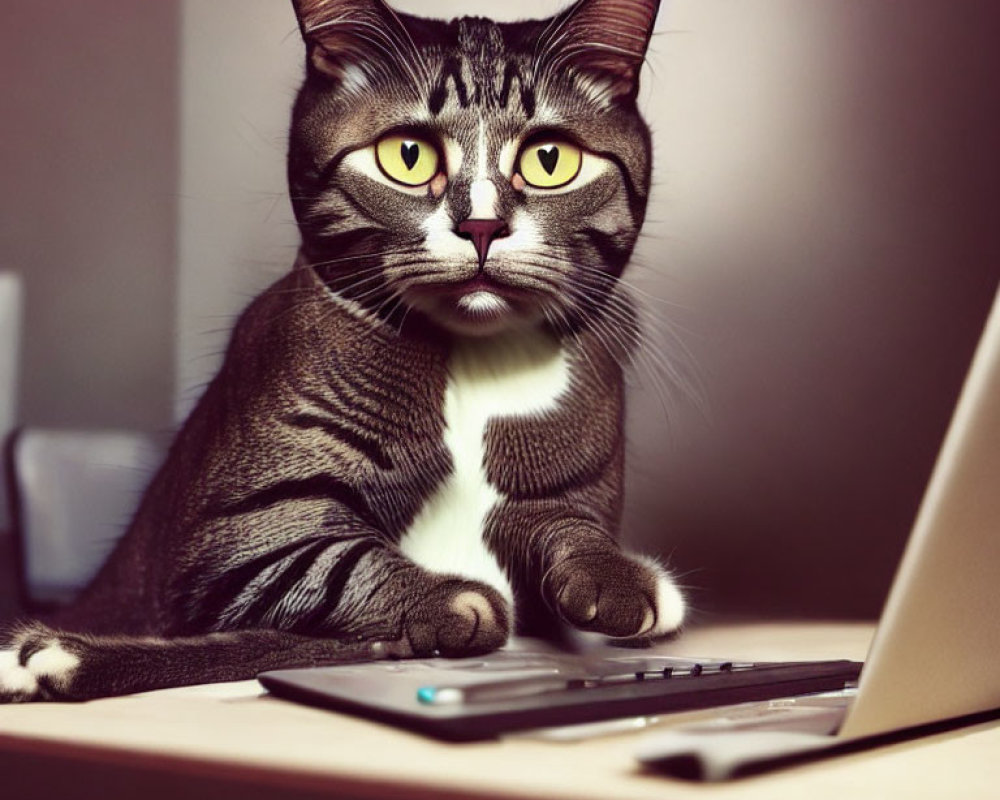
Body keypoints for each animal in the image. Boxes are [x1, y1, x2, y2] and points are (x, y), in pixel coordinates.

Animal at [0, 0, 688, 700]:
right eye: (407, 156)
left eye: (550, 160)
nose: (482, 225)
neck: (473, 365)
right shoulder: (233, 535)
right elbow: (334, 566)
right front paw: (453, 604)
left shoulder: (571, 485)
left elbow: (566, 525)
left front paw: (615, 579)